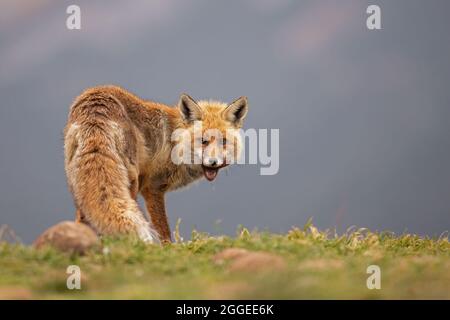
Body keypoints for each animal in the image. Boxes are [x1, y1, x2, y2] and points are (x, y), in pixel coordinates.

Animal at [63, 85, 248, 242]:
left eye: (224, 142)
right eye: (203, 141)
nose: (213, 162)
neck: (175, 143)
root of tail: (95, 105)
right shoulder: (152, 188)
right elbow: (164, 231)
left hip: (79, 183)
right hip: (130, 183)